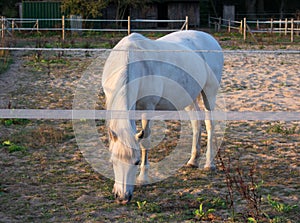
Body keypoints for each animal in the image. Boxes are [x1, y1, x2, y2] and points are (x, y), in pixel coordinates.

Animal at [101, 30, 223, 204]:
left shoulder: (148, 108)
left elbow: (145, 141)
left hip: (209, 94)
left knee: (209, 124)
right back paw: (193, 160)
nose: (122, 197)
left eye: (136, 162)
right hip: (190, 98)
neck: (129, 59)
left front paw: (143, 178)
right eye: (112, 161)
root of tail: (210, 38)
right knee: (196, 123)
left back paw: (209, 164)